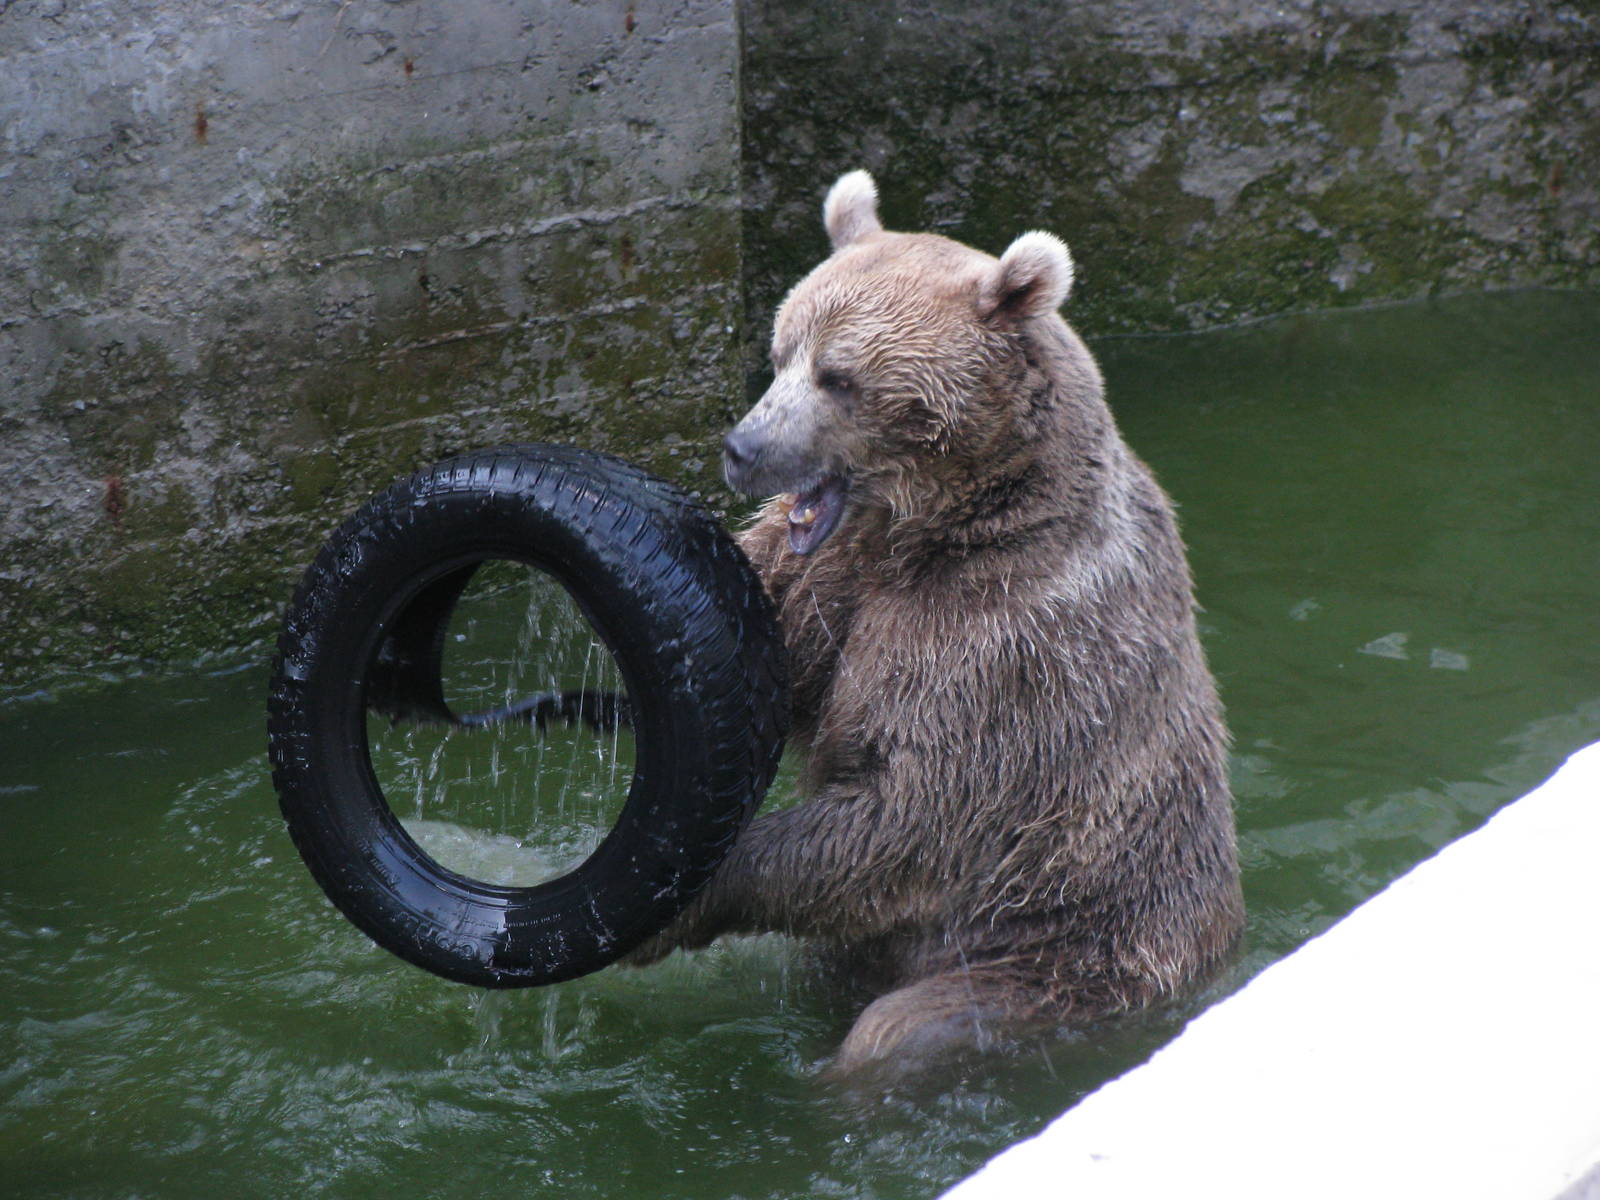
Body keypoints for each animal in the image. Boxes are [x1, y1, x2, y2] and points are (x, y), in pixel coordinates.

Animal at [630, 170, 1244, 1076]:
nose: (744, 448)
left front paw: (695, 893)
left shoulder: (1006, 643)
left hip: (1072, 949)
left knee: (904, 1026)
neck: (943, 523)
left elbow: (909, 811)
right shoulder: (837, 577)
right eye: (780, 352)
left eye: (840, 376)